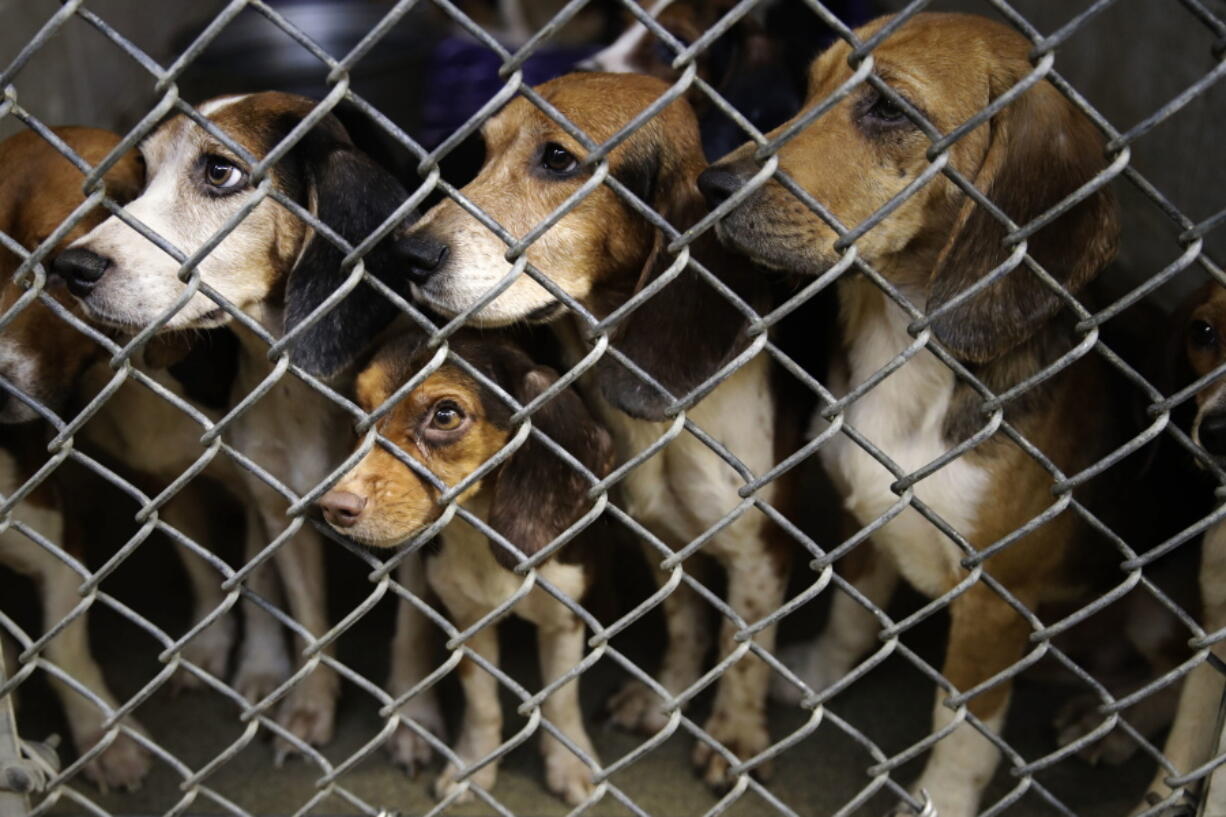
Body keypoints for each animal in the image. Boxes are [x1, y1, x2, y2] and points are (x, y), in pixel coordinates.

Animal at [55, 92, 446, 760]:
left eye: (220, 172)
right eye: (142, 173)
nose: (70, 265)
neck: (301, 388)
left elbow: (414, 629)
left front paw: (414, 719)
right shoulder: (281, 511)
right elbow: (309, 625)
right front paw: (309, 708)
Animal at [318, 328, 610, 799]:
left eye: (445, 415)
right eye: (360, 409)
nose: (333, 506)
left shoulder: (565, 617)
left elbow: (561, 700)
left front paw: (570, 764)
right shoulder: (468, 624)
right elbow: (483, 705)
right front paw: (473, 766)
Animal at [402, 73, 799, 785]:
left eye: (559, 159)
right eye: (484, 151)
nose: (409, 254)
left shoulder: (762, 551)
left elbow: (744, 650)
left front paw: (735, 734)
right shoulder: (662, 540)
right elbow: (685, 625)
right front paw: (664, 698)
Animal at [706, 12, 1123, 814]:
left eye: (889, 109)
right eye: (810, 85)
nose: (711, 184)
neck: (904, 337)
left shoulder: (996, 602)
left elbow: (964, 727)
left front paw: (943, 796)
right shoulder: (867, 512)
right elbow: (849, 614)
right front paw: (814, 675)